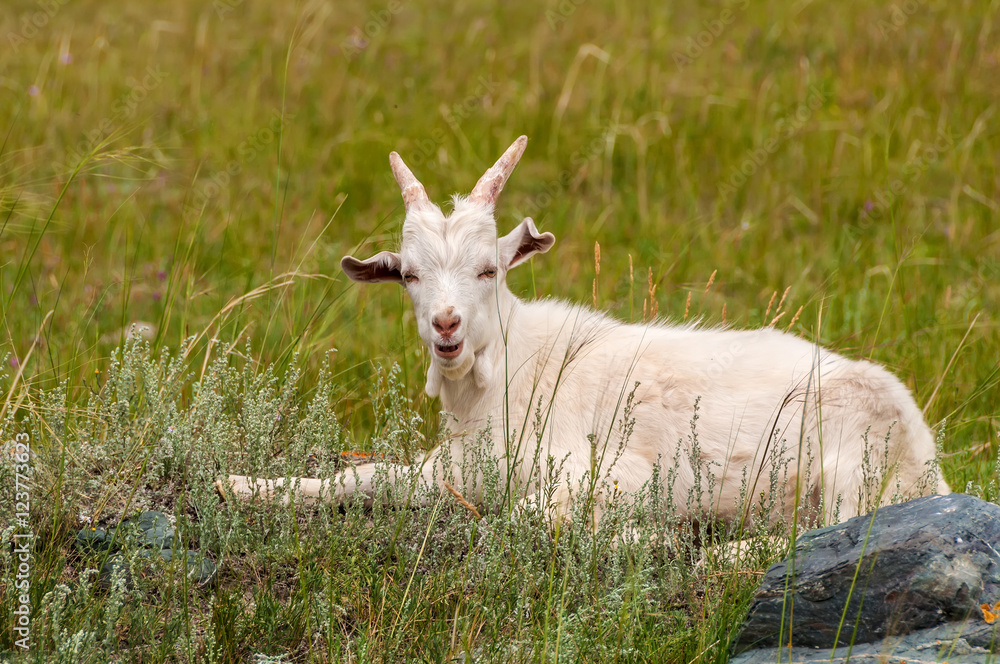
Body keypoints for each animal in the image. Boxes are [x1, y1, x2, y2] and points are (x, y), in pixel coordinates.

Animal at [220, 135, 949, 527]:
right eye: (408, 276)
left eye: (488, 269)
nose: (446, 327)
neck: (511, 372)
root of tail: (927, 458)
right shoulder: (451, 466)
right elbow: (368, 477)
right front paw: (243, 486)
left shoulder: (612, 468)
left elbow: (529, 516)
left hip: (845, 465)